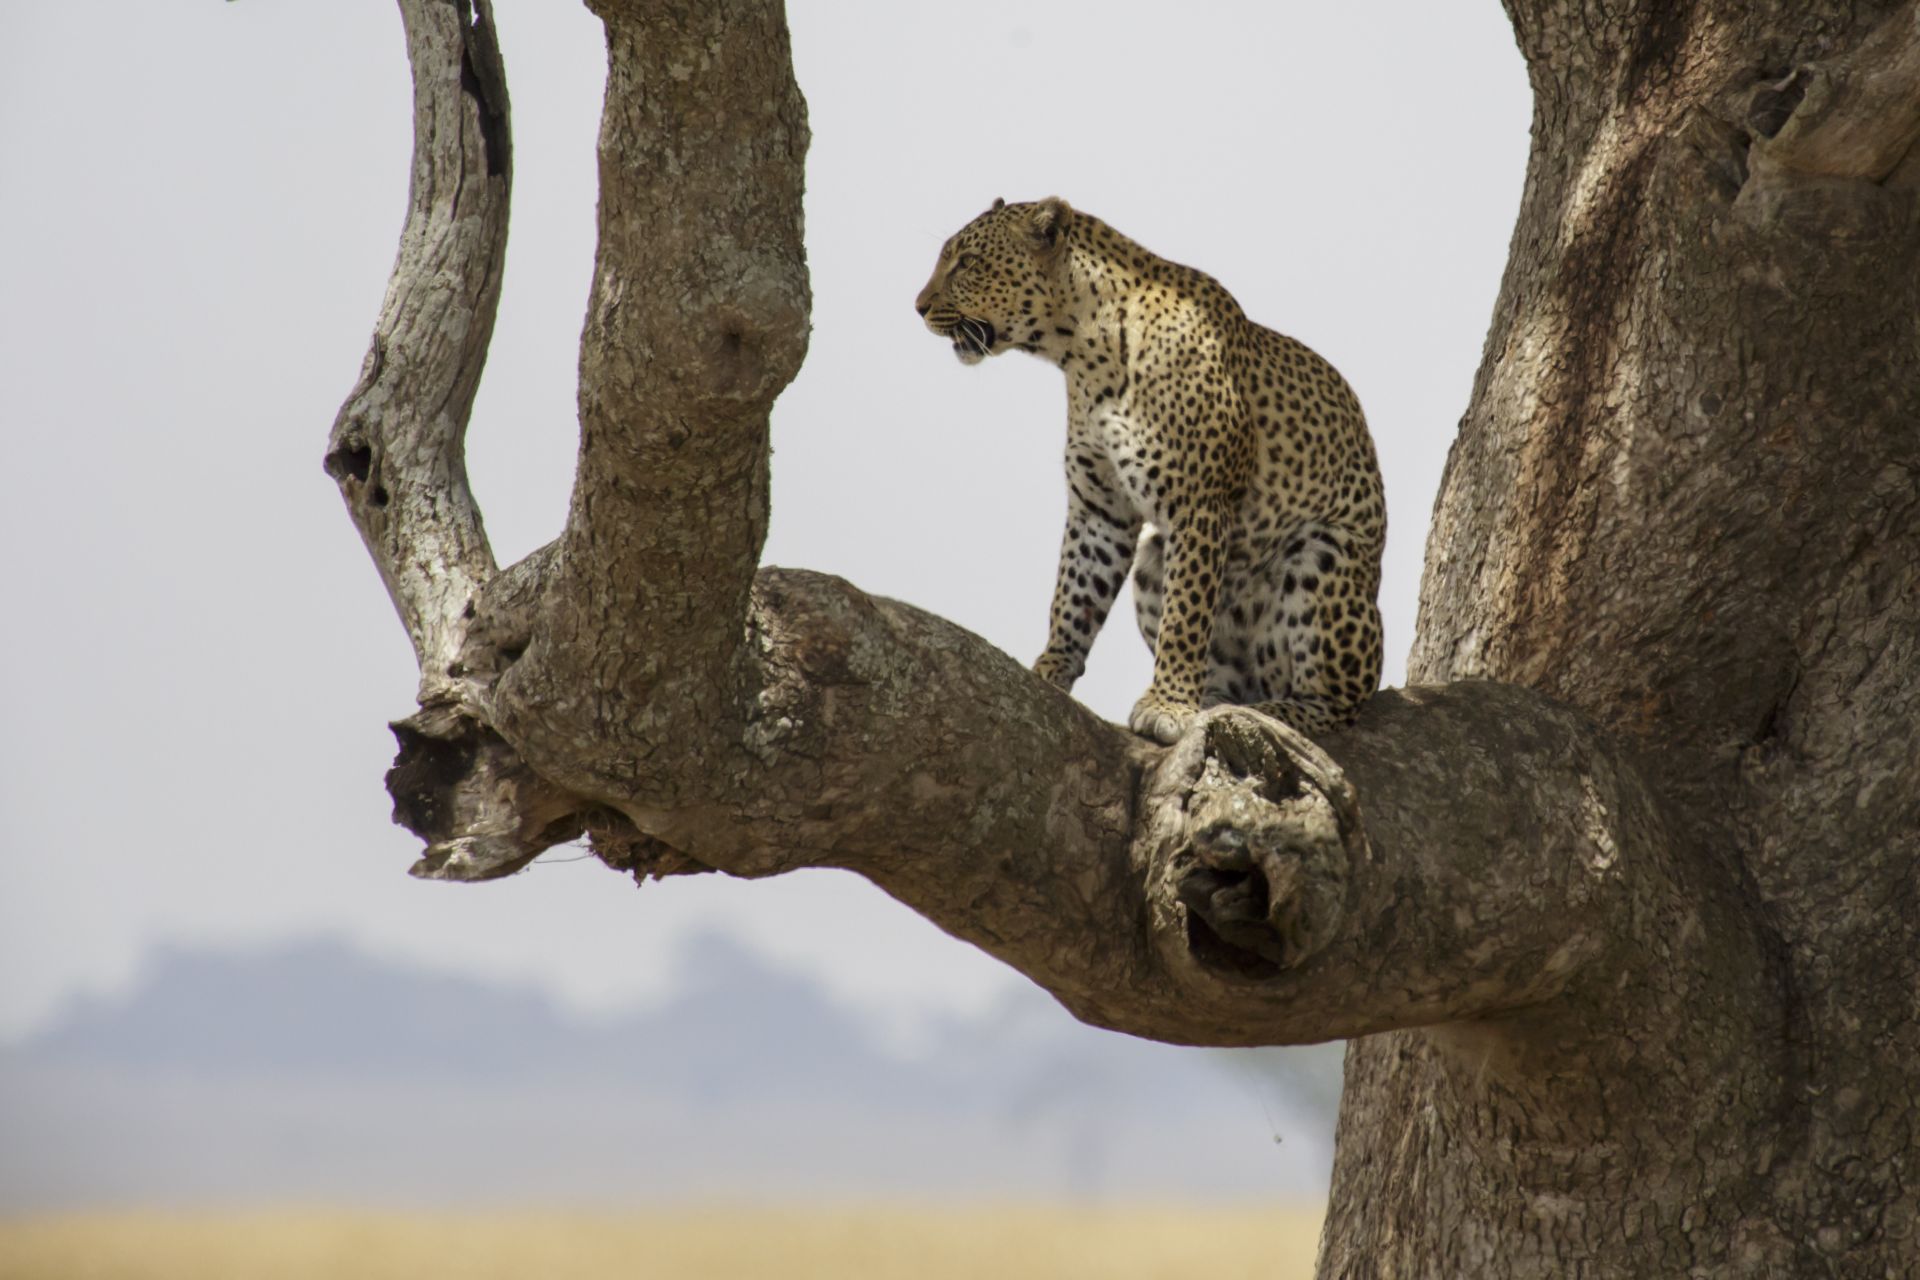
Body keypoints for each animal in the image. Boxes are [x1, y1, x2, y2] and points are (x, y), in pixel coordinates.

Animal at [914, 196, 1385, 744]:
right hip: (1151, 559)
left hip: (1324, 555)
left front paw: (1167, 704)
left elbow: (1186, 614)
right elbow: (1074, 594)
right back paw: (1216, 699)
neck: (1083, 352)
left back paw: (1270, 712)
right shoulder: (1101, 507)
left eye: (967, 262)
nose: (918, 306)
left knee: (1338, 703)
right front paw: (1049, 672)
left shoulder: (1200, 504)